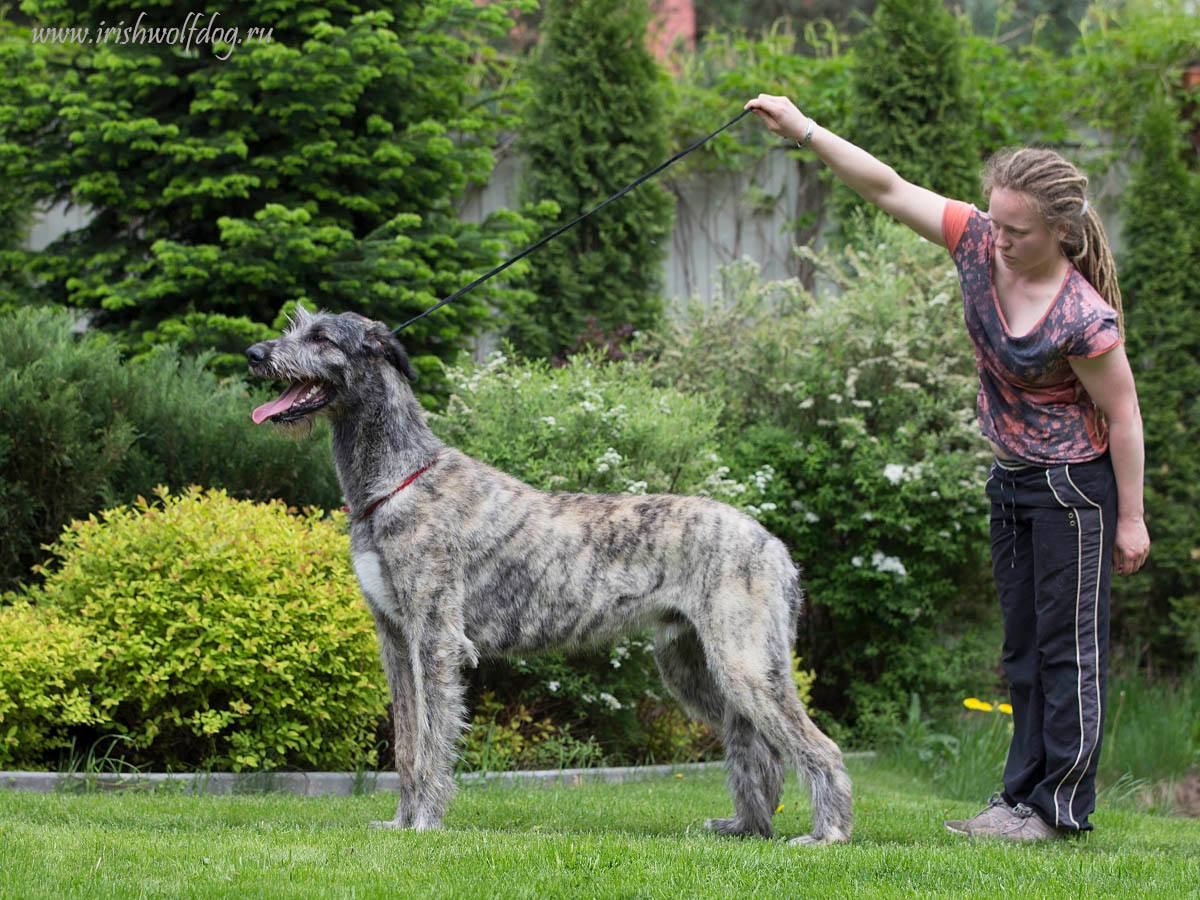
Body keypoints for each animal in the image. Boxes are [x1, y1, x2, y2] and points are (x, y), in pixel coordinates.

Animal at [246, 307, 854, 844]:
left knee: (817, 745)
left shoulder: (435, 636)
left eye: (322, 336)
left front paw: (423, 826)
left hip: (744, 660)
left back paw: (827, 833)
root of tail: (774, 544)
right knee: (756, 743)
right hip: (692, 667)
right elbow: (405, 743)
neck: (399, 478)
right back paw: (749, 827)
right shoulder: (395, 638)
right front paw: (399, 822)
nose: (254, 354)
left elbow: (432, 738)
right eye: (294, 325)